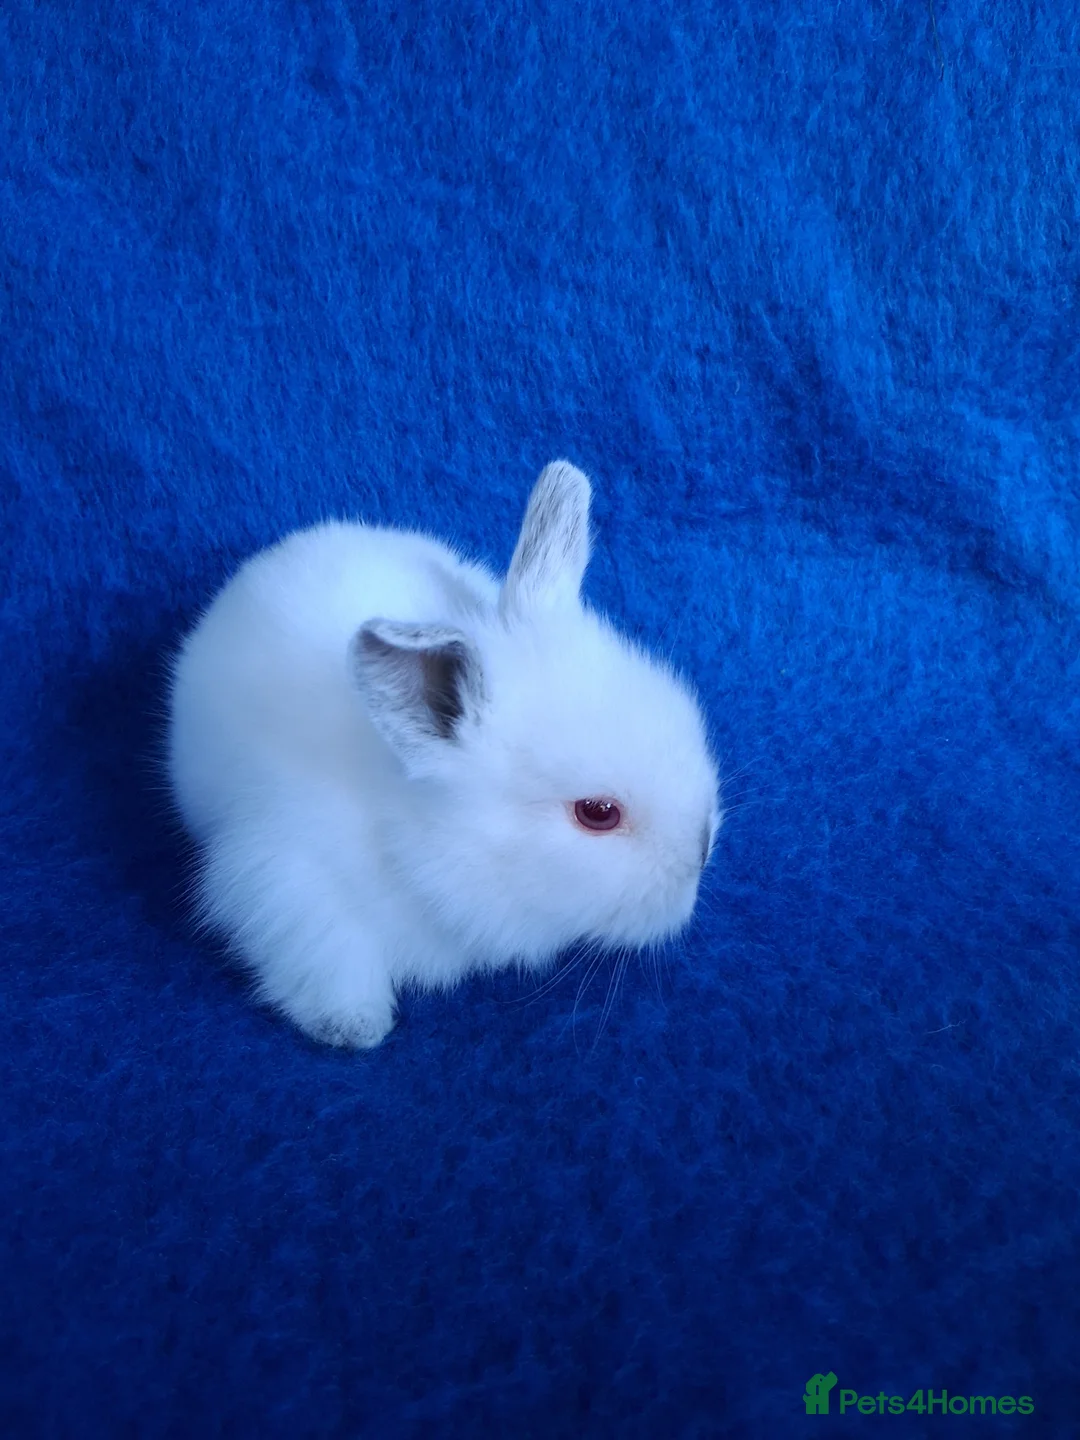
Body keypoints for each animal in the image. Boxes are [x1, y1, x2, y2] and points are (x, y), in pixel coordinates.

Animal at [166, 460, 721, 1048]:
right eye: (597, 813)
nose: (702, 850)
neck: (408, 836)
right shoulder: (282, 882)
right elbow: (331, 960)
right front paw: (355, 1026)